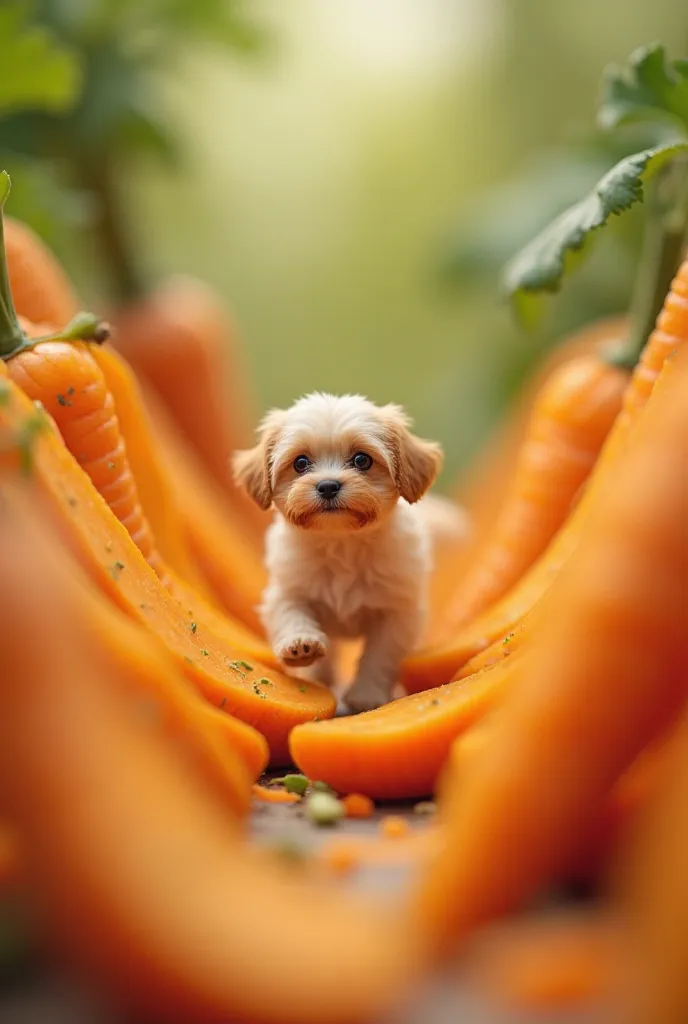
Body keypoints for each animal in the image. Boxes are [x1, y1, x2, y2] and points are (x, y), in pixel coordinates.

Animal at [233, 391, 464, 712]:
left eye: (361, 460)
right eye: (300, 463)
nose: (328, 485)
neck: (341, 542)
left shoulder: (396, 612)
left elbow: (379, 657)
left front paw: (365, 695)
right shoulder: (287, 589)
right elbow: (291, 613)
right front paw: (300, 645)